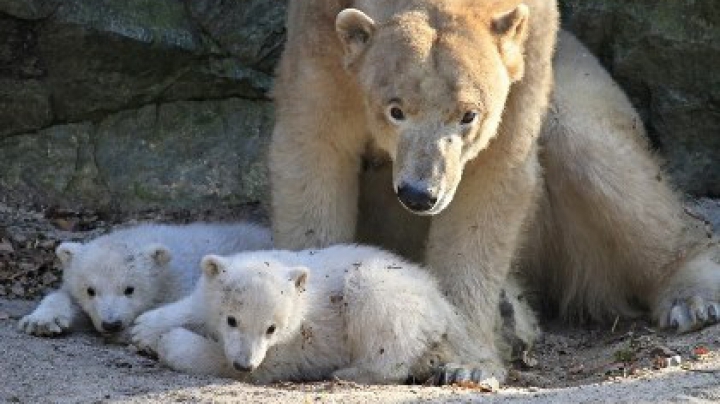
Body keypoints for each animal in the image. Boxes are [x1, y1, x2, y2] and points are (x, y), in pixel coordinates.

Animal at [268, 0, 720, 382]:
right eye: (395, 110)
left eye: (469, 115)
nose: (420, 194)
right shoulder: (319, 40)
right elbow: (314, 157)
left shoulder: (528, 53)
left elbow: (492, 181)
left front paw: (464, 364)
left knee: (592, 149)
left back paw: (690, 299)